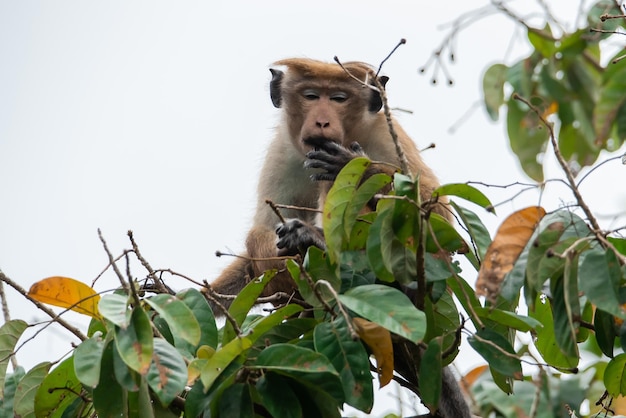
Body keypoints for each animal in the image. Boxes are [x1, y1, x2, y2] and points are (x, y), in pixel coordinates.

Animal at [208, 58, 468, 418]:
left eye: (339, 98)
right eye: (311, 95)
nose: (321, 120)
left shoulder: (386, 135)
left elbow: (438, 218)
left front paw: (354, 162)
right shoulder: (282, 152)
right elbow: (263, 229)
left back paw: (319, 242)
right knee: (260, 235)